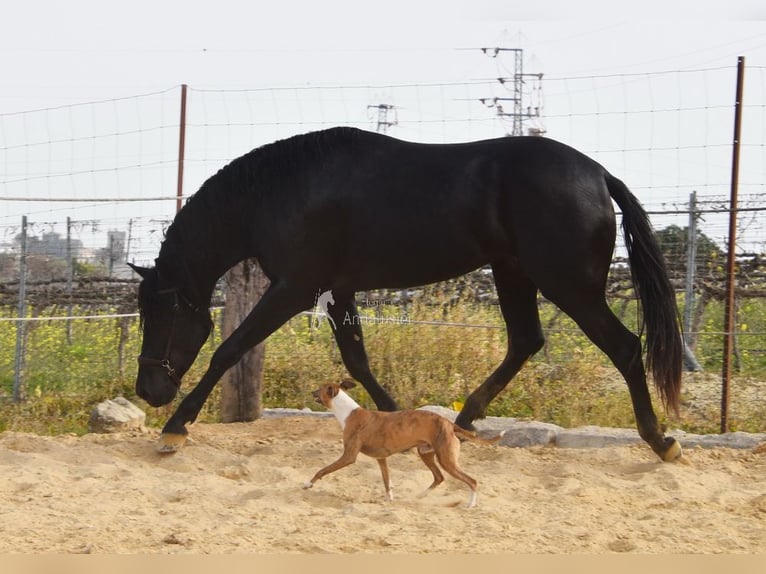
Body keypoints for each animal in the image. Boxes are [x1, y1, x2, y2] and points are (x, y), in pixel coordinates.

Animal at [129, 127, 684, 461]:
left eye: (163, 312)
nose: (148, 390)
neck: (282, 190)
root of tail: (599, 175)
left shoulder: (296, 288)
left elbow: (228, 349)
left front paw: (175, 427)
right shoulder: (337, 289)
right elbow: (358, 361)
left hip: (568, 283)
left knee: (624, 347)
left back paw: (661, 441)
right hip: (514, 273)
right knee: (526, 341)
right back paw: (463, 420)